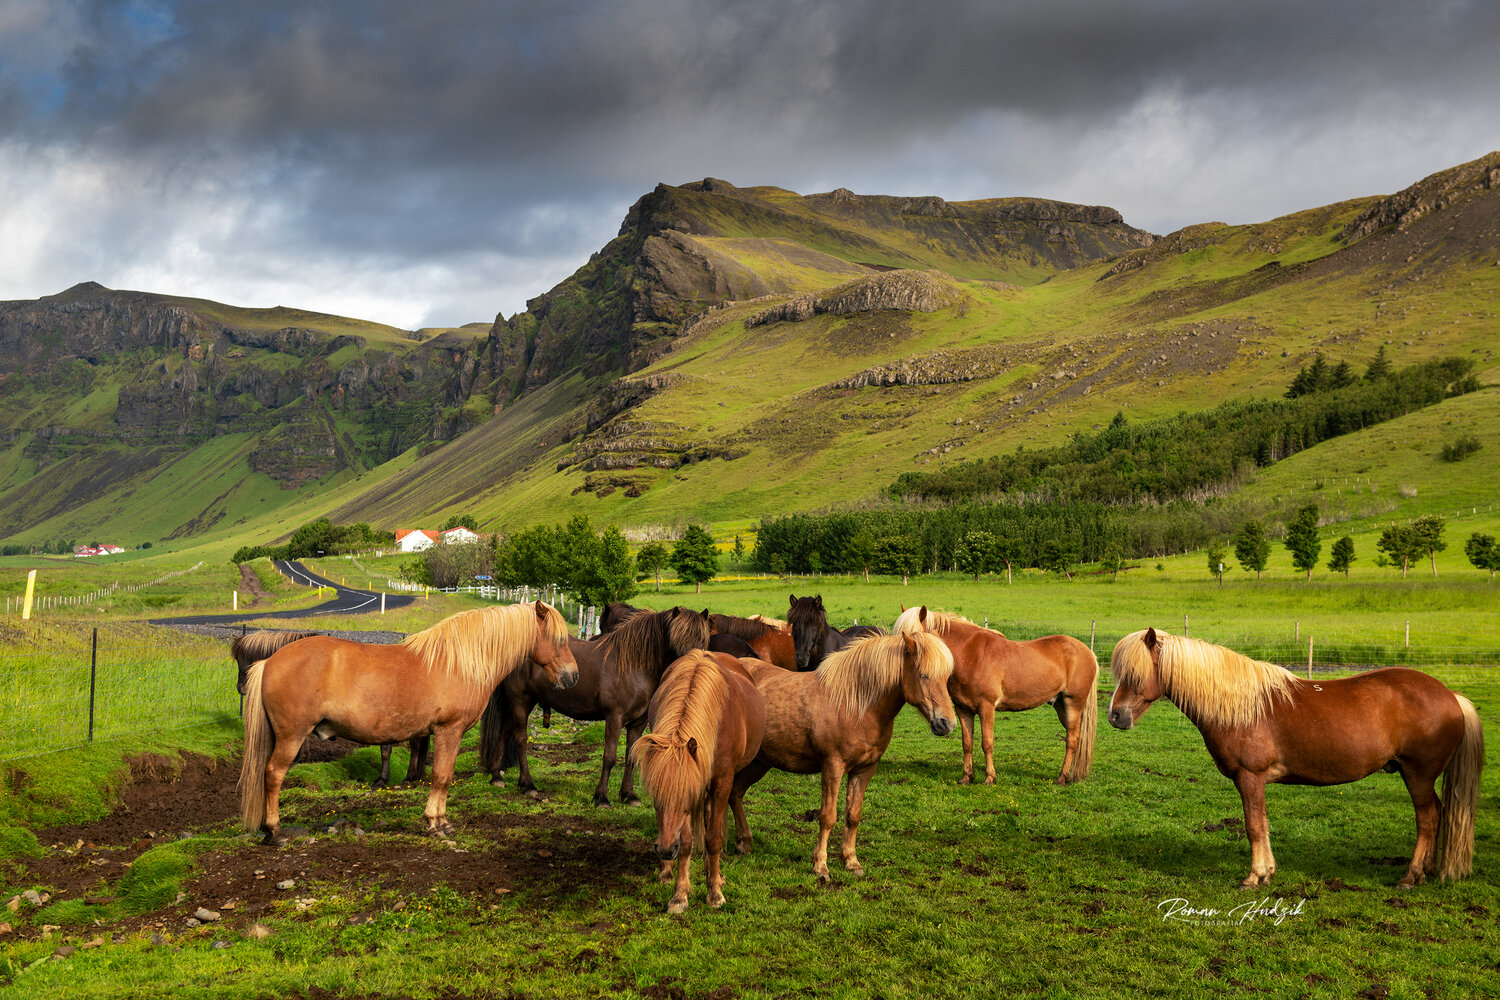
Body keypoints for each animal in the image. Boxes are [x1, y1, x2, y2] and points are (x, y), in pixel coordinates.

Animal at [478, 606, 711, 806]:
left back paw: (496, 776)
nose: (689, 667)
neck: (634, 666)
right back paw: (527, 785)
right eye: (675, 639)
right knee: (519, 740)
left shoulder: (637, 723)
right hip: (521, 702)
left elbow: (631, 758)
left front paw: (629, 795)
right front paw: (602, 798)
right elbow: (609, 758)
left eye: (701, 639)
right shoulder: (614, 718)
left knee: (503, 734)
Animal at [631, 650, 766, 913]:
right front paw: (679, 896)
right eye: (655, 797)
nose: (664, 849)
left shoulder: (720, 783)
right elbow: (685, 843)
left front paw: (714, 893)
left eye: (685, 796)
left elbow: (713, 838)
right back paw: (667, 872)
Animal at [728, 626, 956, 880]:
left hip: (759, 762)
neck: (856, 706)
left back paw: (744, 843)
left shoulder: (864, 770)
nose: (947, 724)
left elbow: (853, 816)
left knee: (735, 794)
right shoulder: (833, 767)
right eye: (923, 675)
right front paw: (820, 866)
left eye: (947, 678)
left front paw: (852, 862)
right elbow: (827, 817)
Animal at [892, 607, 1098, 786]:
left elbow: (987, 743)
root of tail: (1087, 652)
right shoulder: (963, 709)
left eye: (912, 641)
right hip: (1061, 706)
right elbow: (967, 743)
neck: (970, 654)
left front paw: (990, 778)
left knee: (1072, 740)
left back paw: (1062, 777)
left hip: (1073, 704)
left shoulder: (987, 707)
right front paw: (966, 777)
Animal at [1108, 627, 1484, 889]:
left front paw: (1254, 877)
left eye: (1136, 674)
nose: (1116, 716)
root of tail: (1451, 695)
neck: (1243, 708)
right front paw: (1268, 872)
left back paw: (1410, 876)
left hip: (1418, 775)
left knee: (1428, 818)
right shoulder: (1255, 781)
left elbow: (1254, 825)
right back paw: (1424, 872)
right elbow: (1262, 823)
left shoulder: (1250, 776)